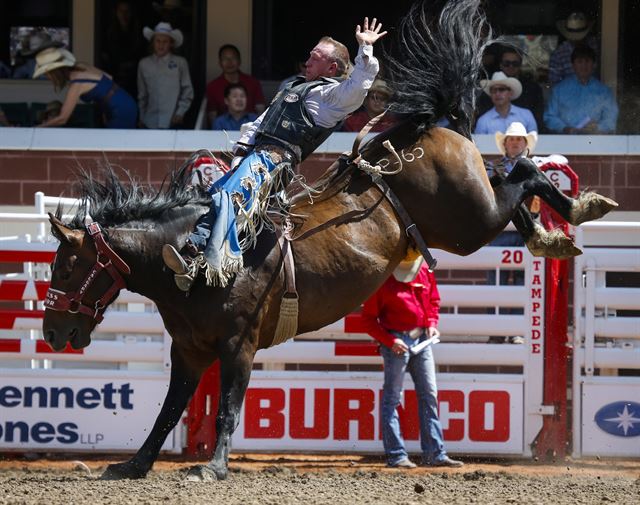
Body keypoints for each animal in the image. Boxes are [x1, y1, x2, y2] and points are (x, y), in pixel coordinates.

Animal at [42, 0, 612, 480]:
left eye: (66, 267)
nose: (51, 332)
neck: (187, 258)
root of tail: (427, 125)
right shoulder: (188, 350)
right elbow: (168, 412)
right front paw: (133, 465)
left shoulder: (237, 345)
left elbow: (227, 407)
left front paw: (213, 468)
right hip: (472, 209)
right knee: (510, 178)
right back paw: (552, 234)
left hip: (470, 222)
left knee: (525, 173)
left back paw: (577, 211)